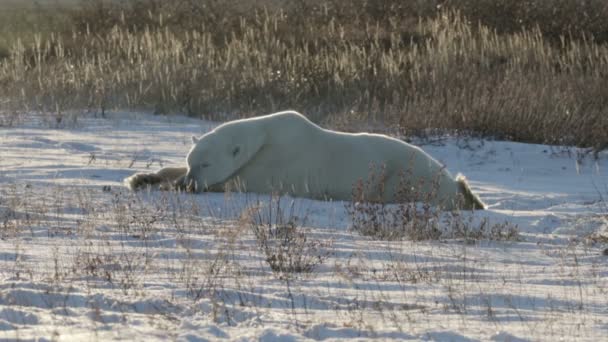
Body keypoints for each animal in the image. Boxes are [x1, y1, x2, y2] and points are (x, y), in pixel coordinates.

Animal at [123, 111, 484, 210]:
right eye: (192, 160)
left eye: (206, 165)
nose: (189, 183)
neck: (264, 137)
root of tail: (453, 185)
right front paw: (142, 177)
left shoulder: (276, 165)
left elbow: (235, 182)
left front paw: (168, 186)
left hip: (404, 176)